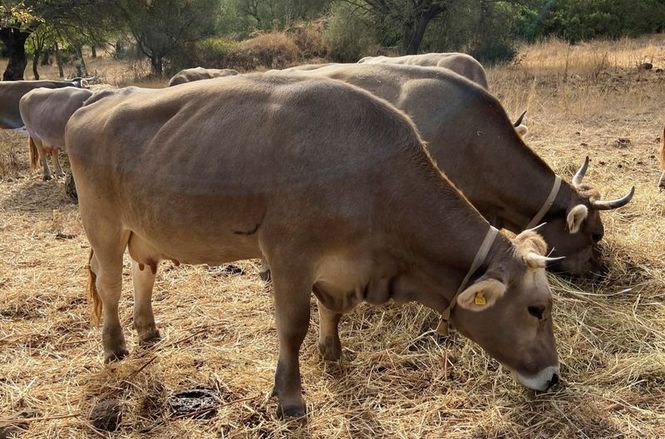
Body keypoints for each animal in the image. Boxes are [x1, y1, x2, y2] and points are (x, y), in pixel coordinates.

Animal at [62, 75, 564, 420]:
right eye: (536, 309)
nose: (554, 377)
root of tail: (96, 102)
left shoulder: (339, 266)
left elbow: (330, 311)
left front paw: (332, 351)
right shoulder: (290, 256)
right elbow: (292, 327)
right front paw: (290, 396)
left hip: (143, 229)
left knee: (143, 271)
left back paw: (147, 329)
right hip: (103, 225)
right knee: (108, 284)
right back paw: (114, 345)